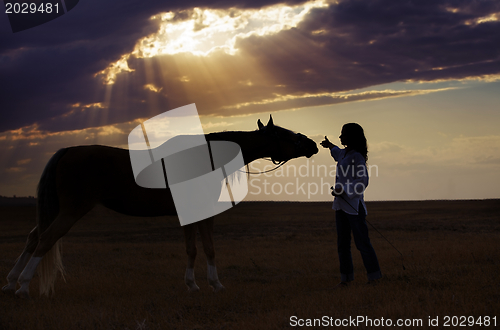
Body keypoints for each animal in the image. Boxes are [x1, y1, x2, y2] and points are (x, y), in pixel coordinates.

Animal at [1, 114, 318, 298]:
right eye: (285, 134)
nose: (313, 145)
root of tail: (67, 151)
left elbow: (193, 248)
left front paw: (192, 284)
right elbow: (209, 248)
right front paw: (215, 284)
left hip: (59, 210)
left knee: (33, 238)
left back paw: (10, 282)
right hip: (71, 211)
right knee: (45, 239)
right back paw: (24, 285)